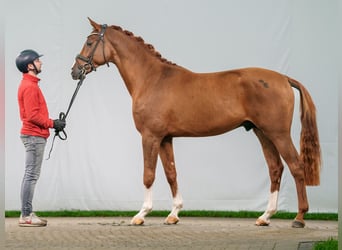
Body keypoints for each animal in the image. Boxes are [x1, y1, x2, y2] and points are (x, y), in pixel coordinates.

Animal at [70, 18, 320, 228]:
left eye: (90, 42)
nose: (75, 71)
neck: (152, 79)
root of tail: (284, 78)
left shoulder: (150, 136)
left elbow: (148, 174)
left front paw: (141, 214)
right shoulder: (165, 138)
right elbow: (171, 173)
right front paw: (173, 214)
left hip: (278, 133)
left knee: (296, 166)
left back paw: (299, 218)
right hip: (262, 133)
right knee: (275, 168)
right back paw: (265, 217)